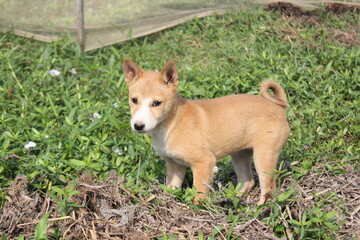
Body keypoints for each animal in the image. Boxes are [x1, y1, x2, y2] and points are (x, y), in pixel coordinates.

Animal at [123, 58, 290, 204]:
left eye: (156, 103)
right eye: (134, 100)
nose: (138, 125)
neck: (172, 123)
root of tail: (278, 106)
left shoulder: (203, 162)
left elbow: (199, 195)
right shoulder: (175, 165)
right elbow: (171, 189)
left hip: (264, 157)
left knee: (269, 188)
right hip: (239, 155)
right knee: (248, 181)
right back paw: (230, 199)